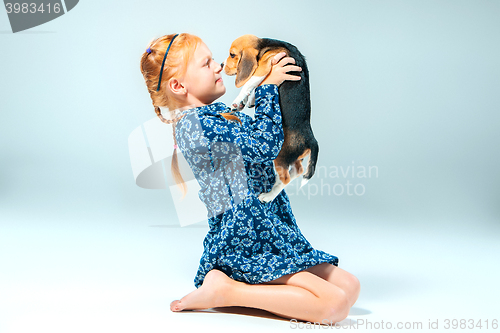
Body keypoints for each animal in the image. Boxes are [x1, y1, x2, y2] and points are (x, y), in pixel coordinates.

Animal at [225, 33, 318, 202]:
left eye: (232, 55)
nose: (222, 65)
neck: (266, 45)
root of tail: (311, 138)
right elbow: (256, 86)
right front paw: (248, 101)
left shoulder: (265, 65)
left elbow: (249, 83)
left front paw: (238, 101)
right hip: (292, 158)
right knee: (297, 171)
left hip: (280, 156)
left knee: (286, 178)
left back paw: (268, 196)